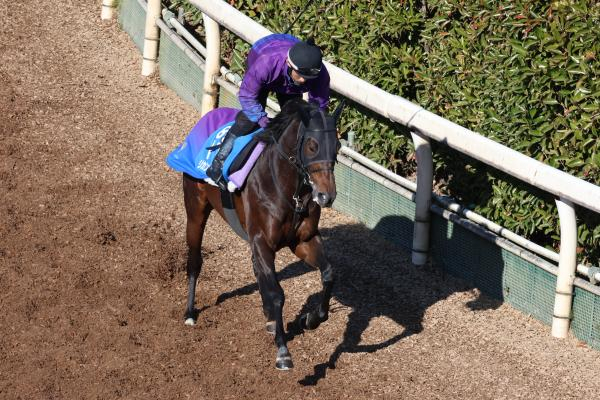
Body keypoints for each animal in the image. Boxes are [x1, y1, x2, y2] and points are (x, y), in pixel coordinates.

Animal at [180, 98, 344, 370]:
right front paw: (283, 351)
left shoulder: (303, 241)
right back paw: (190, 313)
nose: (326, 196)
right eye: (312, 145)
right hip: (196, 208)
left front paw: (310, 319)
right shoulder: (262, 242)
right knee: (194, 259)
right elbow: (277, 294)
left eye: (338, 146)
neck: (289, 189)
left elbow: (329, 274)